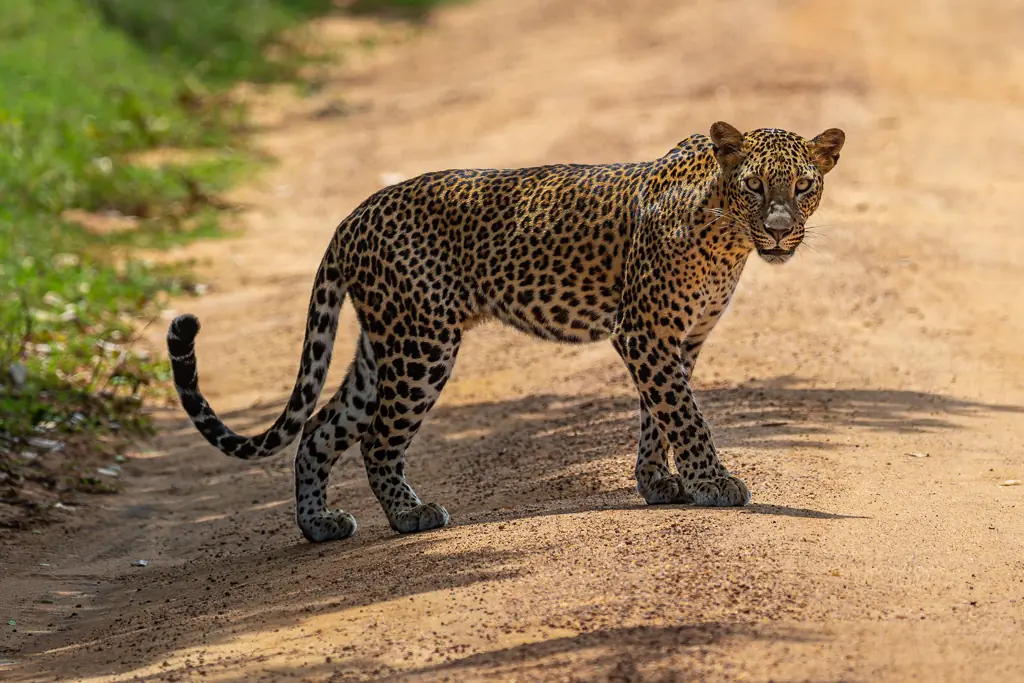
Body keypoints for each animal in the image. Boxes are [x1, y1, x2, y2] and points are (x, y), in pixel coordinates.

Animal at [167, 121, 845, 543]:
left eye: (803, 186)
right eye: (754, 185)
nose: (780, 230)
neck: (727, 233)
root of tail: (352, 217)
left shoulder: (681, 339)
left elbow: (660, 413)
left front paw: (660, 483)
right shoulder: (644, 332)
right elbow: (685, 414)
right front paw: (712, 483)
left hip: (381, 347)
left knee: (318, 429)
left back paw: (319, 526)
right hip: (422, 345)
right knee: (377, 438)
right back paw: (411, 515)